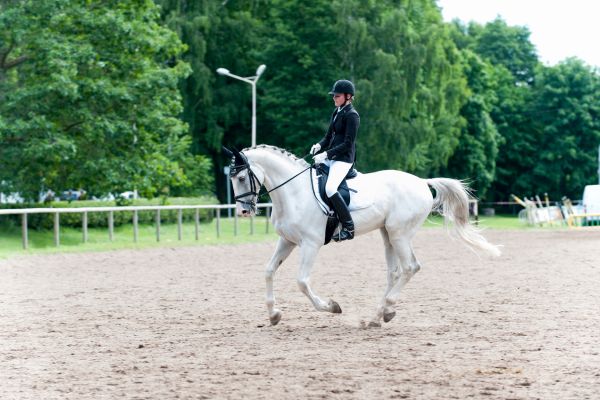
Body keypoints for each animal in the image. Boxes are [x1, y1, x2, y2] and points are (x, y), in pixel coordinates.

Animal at [223, 145, 500, 326]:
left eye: (241, 177)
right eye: (232, 178)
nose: (244, 211)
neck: (294, 192)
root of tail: (422, 182)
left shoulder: (311, 244)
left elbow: (302, 281)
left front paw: (331, 307)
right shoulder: (288, 241)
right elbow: (269, 271)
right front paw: (274, 314)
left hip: (400, 233)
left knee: (411, 267)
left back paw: (385, 310)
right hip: (388, 234)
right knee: (394, 272)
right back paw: (379, 316)